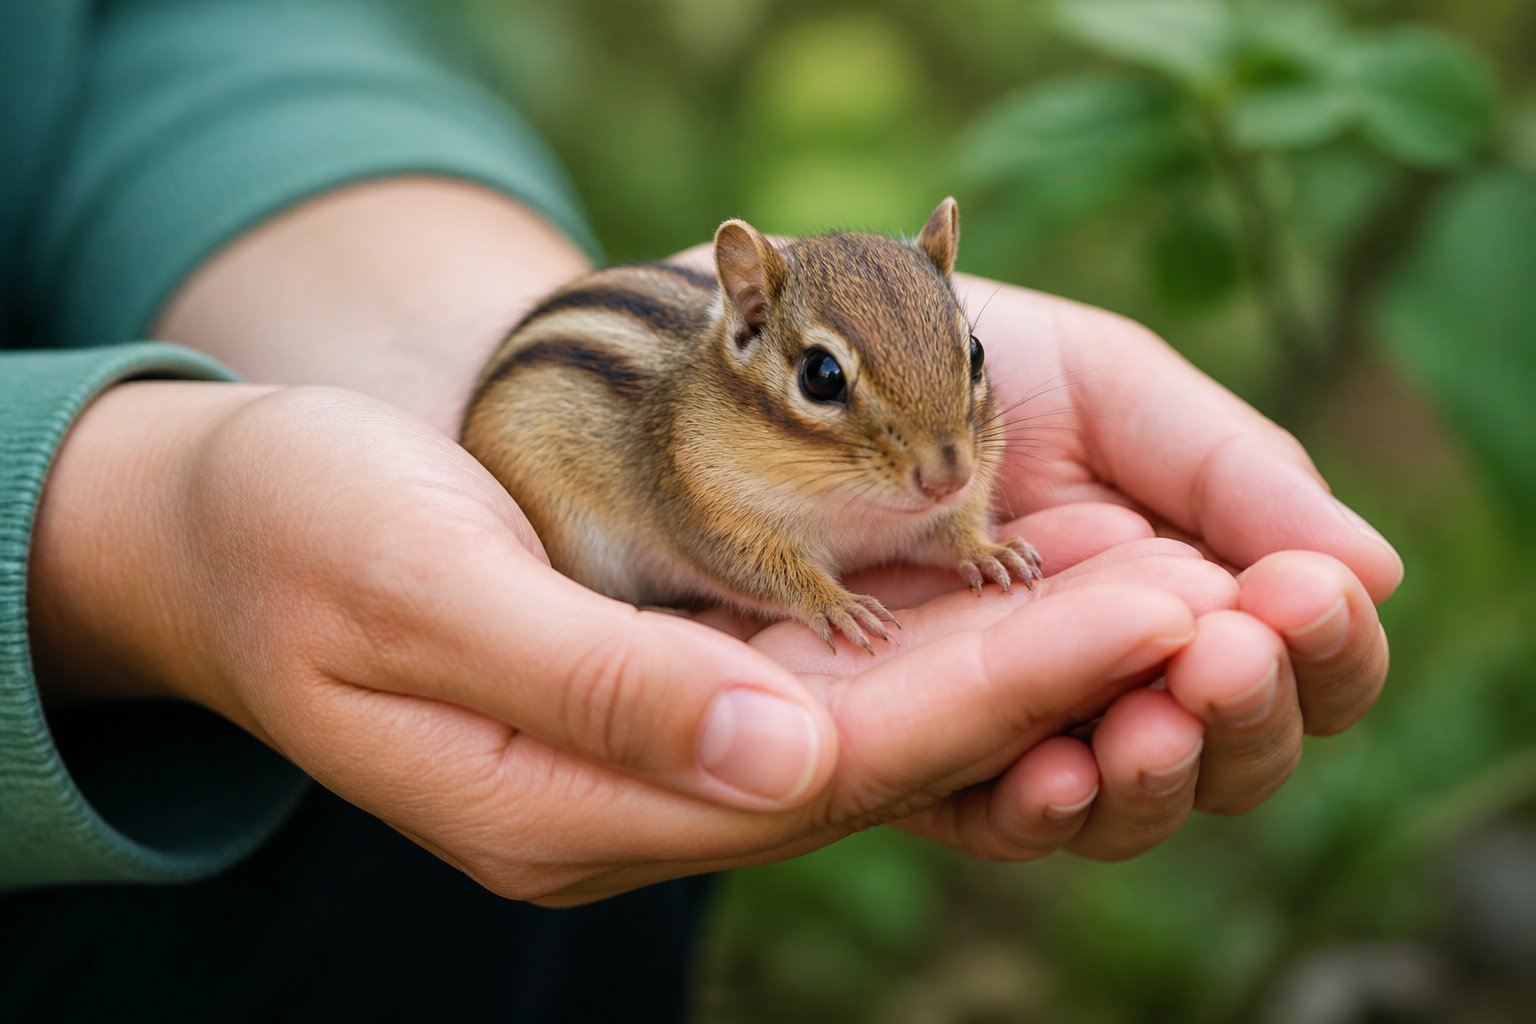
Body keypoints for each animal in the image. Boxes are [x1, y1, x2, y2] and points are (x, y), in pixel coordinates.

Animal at [460, 198, 1041, 653]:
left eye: (975, 351)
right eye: (822, 375)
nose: (948, 479)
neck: (852, 507)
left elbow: (951, 530)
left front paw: (991, 552)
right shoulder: (709, 515)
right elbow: (763, 573)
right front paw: (837, 604)